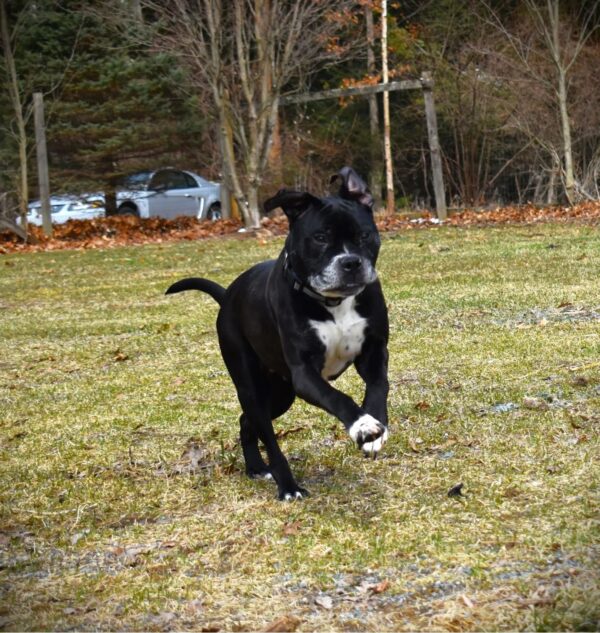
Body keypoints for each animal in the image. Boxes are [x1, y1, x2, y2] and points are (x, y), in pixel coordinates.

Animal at [166, 167, 390, 498]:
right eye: (320, 238)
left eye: (364, 235)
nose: (351, 262)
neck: (334, 302)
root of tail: (228, 295)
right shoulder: (304, 374)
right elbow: (337, 397)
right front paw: (362, 425)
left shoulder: (374, 352)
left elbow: (377, 387)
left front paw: (374, 428)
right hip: (252, 386)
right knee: (267, 436)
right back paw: (287, 486)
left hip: (281, 394)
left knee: (246, 422)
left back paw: (255, 467)